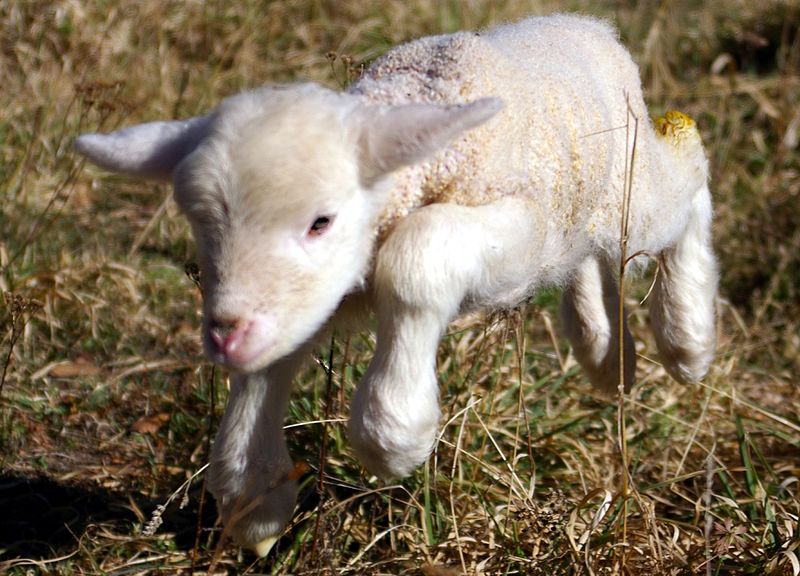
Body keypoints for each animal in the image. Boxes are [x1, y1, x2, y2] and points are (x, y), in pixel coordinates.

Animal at [73, 13, 720, 552]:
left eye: (320, 222)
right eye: (201, 225)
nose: (224, 338)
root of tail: (590, 27)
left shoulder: (520, 228)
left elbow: (418, 255)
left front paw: (392, 433)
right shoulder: (311, 296)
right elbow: (272, 360)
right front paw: (255, 499)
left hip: (628, 194)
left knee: (689, 178)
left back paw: (687, 337)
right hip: (581, 207)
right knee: (586, 256)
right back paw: (606, 355)